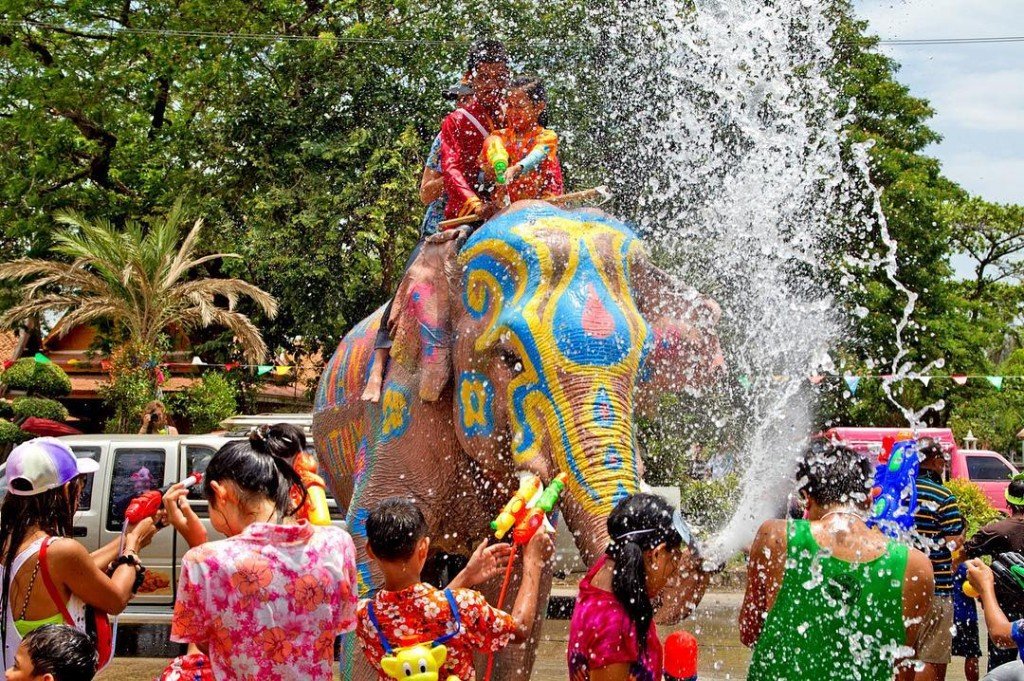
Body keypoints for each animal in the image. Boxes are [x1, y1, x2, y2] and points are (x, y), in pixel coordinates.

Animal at [315, 201, 724, 679]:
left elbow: (510, 605)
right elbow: (372, 549)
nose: (680, 560)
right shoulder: (402, 406)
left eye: (642, 367)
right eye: (509, 358)